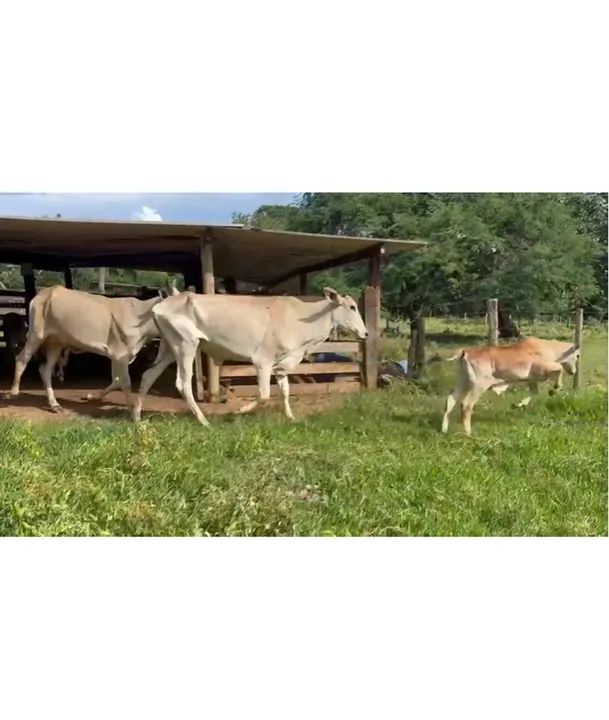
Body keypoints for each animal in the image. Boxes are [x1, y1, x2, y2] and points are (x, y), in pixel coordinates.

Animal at [5, 285, 164, 414]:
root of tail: (45, 293)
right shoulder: (120, 355)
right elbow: (124, 381)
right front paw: (132, 409)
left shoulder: (118, 356)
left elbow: (117, 380)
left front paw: (91, 396)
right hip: (36, 335)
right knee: (21, 359)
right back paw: (13, 393)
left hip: (55, 343)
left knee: (45, 370)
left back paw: (55, 405)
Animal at [133, 287, 368, 426]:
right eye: (352, 307)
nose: (366, 333)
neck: (301, 319)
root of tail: (161, 304)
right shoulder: (263, 361)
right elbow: (264, 394)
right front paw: (238, 411)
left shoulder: (283, 364)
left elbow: (285, 392)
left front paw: (291, 417)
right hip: (186, 345)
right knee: (182, 383)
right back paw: (203, 421)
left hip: (168, 348)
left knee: (147, 376)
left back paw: (136, 417)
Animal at [441, 337, 580, 436]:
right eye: (577, 356)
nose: (573, 372)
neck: (550, 348)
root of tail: (466, 351)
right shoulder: (542, 368)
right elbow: (560, 368)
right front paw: (556, 388)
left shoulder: (532, 380)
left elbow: (534, 393)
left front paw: (518, 405)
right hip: (479, 386)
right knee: (466, 404)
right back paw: (468, 433)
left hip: (462, 382)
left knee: (450, 400)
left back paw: (444, 429)